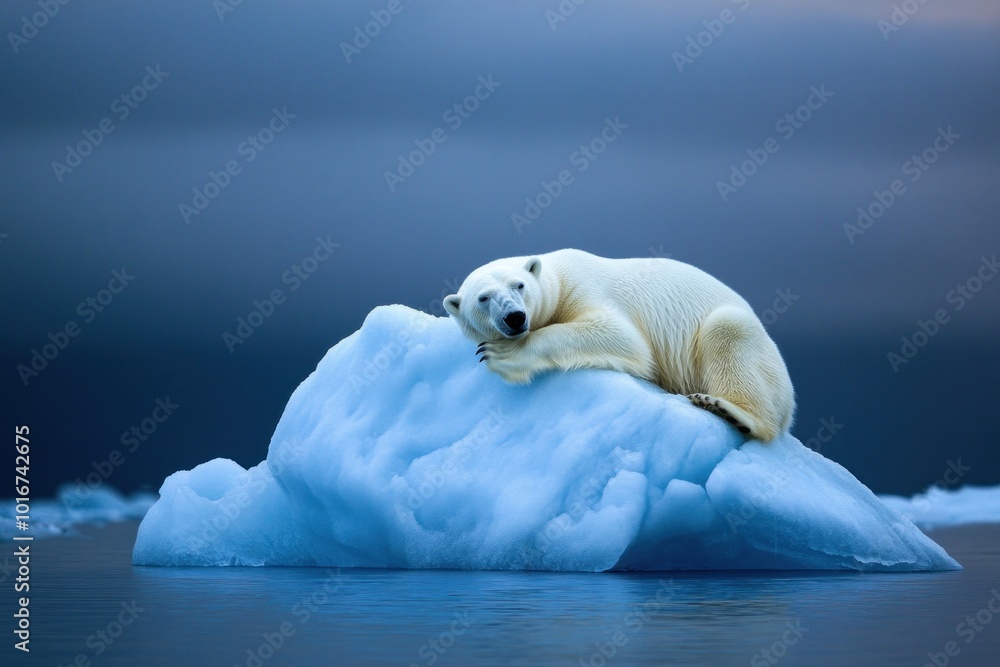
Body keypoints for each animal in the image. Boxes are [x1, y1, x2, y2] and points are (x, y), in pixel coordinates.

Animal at [443, 248, 795, 442]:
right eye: (483, 298)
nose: (515, 317)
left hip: (758, 356)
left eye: (519, 285)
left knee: (727, 327)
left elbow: (621, 336)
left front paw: (499, 353)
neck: (556, 275)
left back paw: (727, 409)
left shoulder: (584, 288)